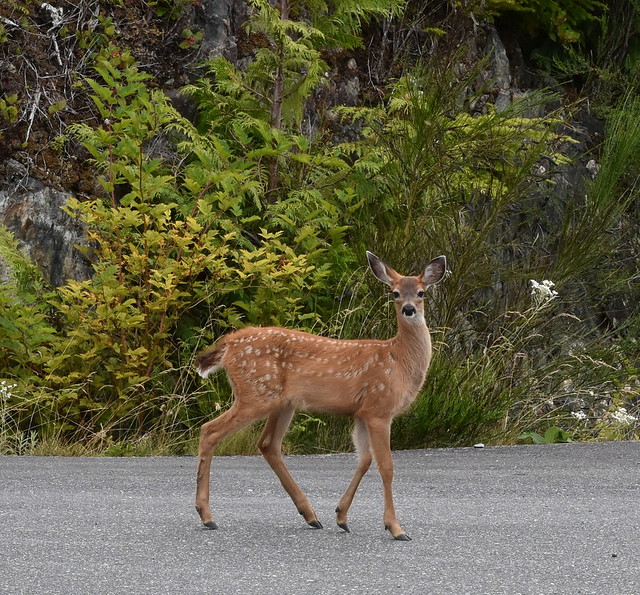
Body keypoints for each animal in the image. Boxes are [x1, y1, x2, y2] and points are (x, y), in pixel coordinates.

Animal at [194, 251, 444, 540]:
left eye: (421, 292)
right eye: (395, 293)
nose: (409, 309)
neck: (399, 359)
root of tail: (229, 344)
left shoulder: (362, 412)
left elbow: (364, 460)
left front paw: (342, 516)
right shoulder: (379, 408)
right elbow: (386, 466)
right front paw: (395, 528)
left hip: (281, 403)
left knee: (268, 444)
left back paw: (311, 516)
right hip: (255, 393)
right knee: (210, 430)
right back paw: (207, 515)